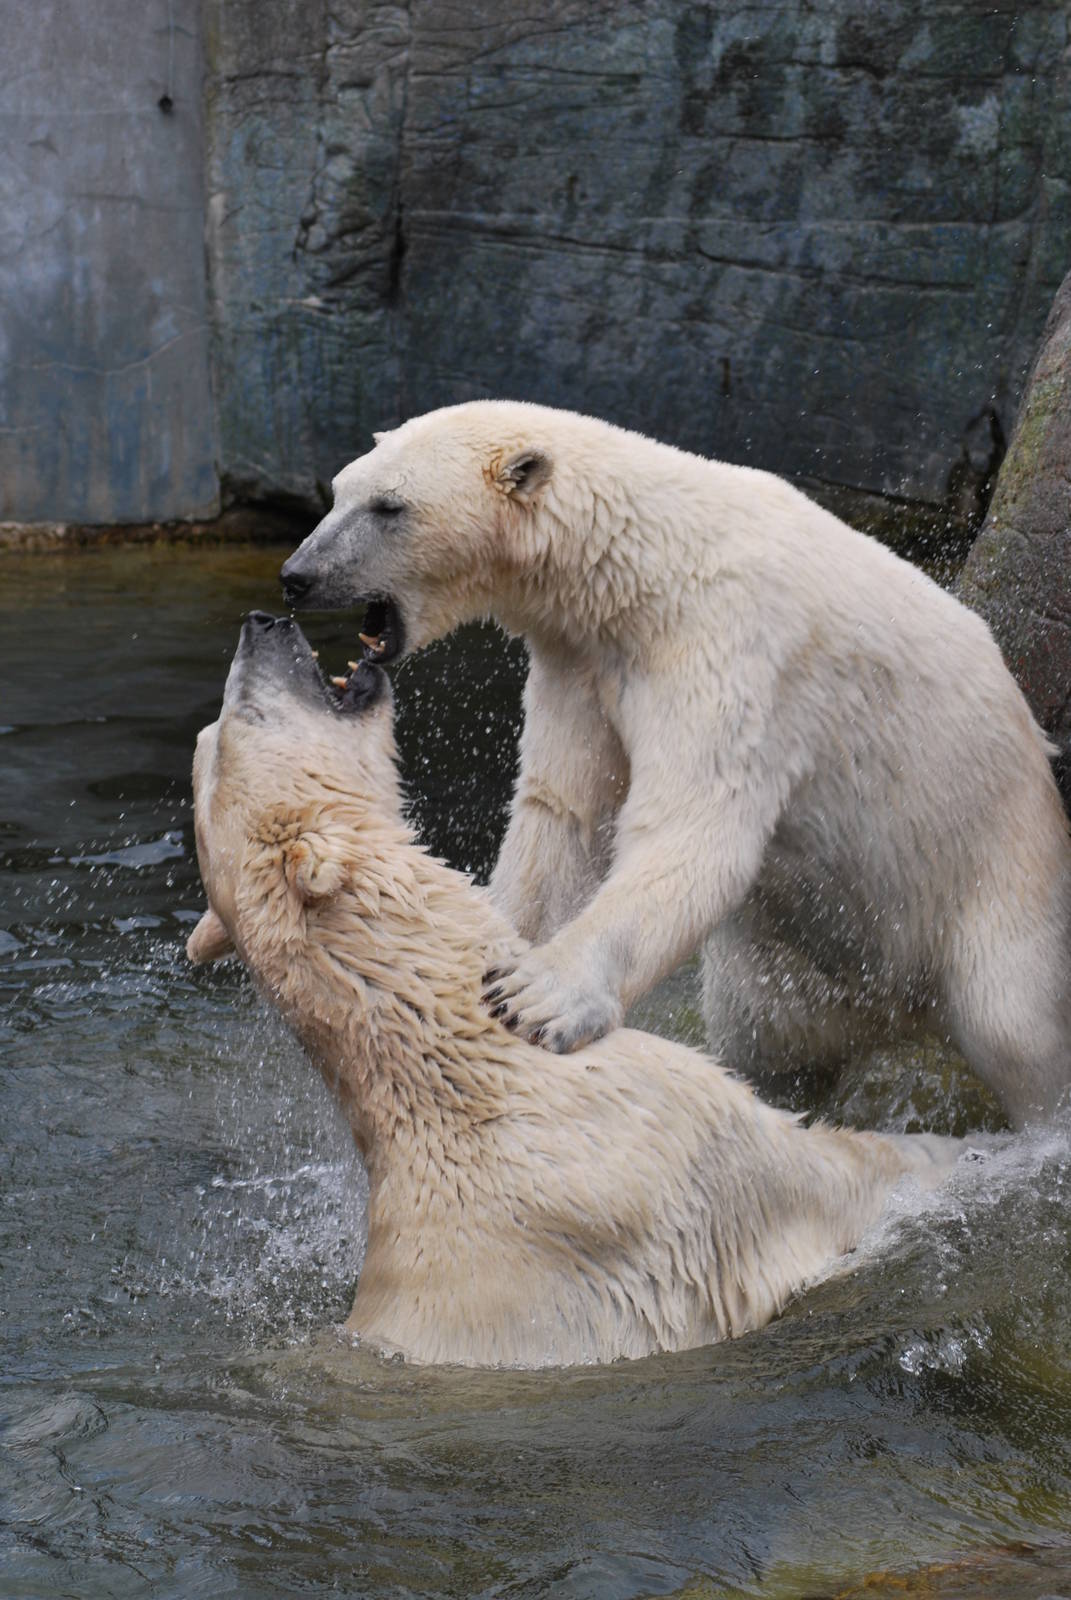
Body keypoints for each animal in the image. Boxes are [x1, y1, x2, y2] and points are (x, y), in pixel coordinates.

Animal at [186, 612, 965, 1368]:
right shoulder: (671, 1139)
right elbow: (828, 1172)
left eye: (208, 735)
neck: (465, 1050)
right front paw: (960, 1155)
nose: (261, 621)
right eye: (241, 716)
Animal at [279, 400, 1071, 1129]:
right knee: (768, 1043)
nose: (297, 576)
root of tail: (902, 1013)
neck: (646, 566)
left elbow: (692, 831)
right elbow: (563, 814)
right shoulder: (583, 661)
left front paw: (538, 997)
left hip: (998, 869)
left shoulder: (729, 648)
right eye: (340, 489)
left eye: (390, 506)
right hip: (789, 976)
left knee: (1017, 1027)